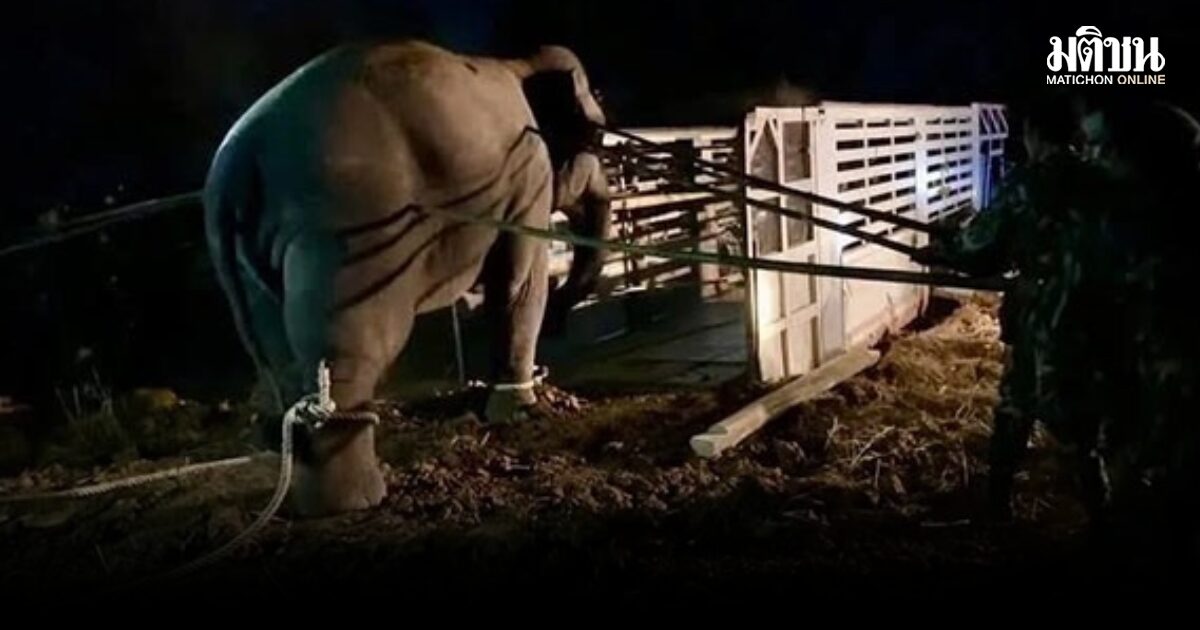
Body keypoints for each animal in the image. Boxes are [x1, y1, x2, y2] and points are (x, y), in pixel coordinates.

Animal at [204, 40, 611, 516]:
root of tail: (234, 168)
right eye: (597, 137)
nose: (561, 323)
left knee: (280, 356)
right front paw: (521, 410)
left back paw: (306, 499)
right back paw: (357, 502)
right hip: (352, 231)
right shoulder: (527, 172)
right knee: (353, 346)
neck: (520, 61)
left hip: (251, 255)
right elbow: (518, 283)